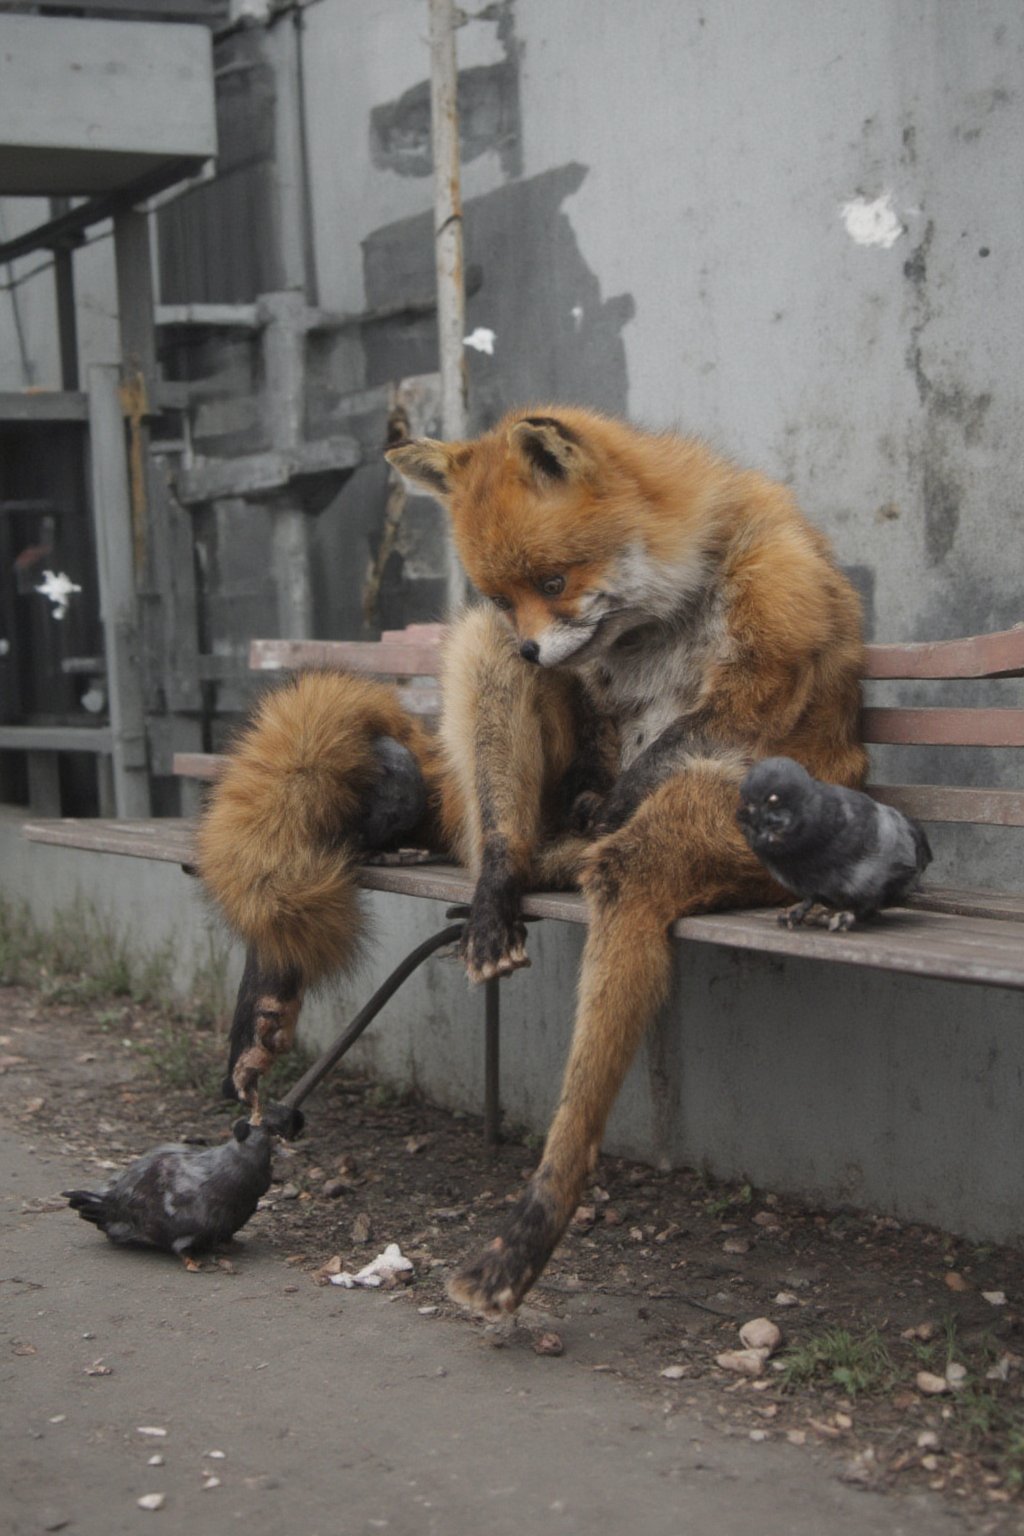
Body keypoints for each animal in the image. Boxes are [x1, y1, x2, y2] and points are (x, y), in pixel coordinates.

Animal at [196, 408, 872, 1320]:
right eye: (500, 591)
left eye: (554, 579)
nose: (530, 649)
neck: (666, 618)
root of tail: (564, 861)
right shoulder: (576, 691)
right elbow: (594, 742)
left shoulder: (764, 659)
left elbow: (678, 742)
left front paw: (623, 791)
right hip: (501, 748)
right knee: (497, 824)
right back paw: (467, 918)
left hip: (682, 843)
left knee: (614, 929)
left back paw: (523, 1240)